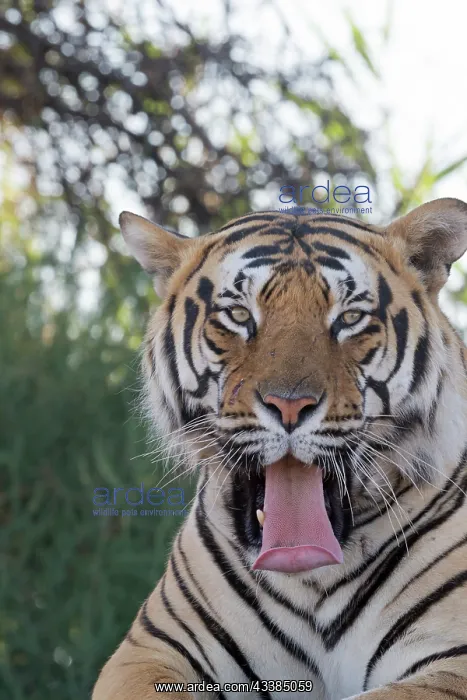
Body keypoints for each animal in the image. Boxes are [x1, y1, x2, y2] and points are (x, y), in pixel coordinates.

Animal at [93, 198, 467, 700]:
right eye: (238, 316)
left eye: (349, 319)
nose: (290, 405)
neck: (312, 580)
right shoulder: (152, 648)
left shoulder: (453, 658)